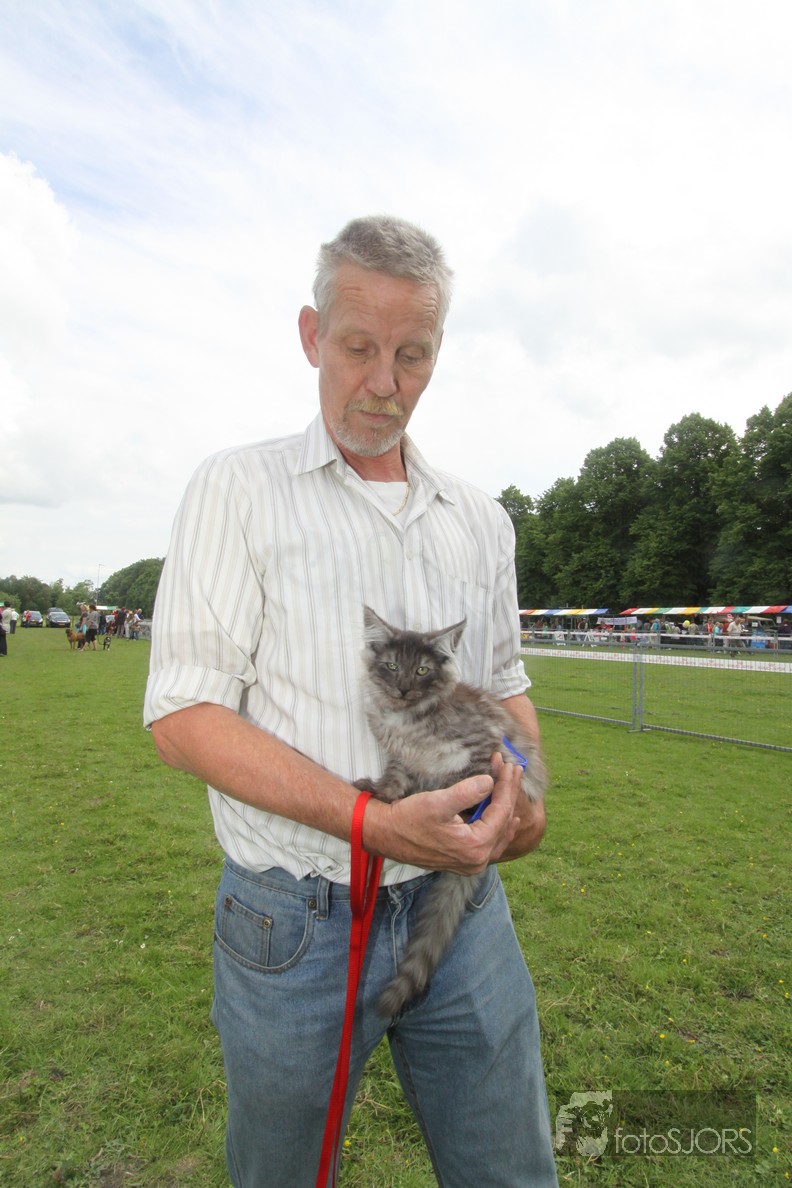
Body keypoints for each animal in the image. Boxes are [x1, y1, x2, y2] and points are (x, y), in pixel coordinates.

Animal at [356, 606, 547, 1016]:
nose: (403, 689)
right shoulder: (401, 759)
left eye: (422, 670)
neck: (409, 720)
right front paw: (381, 794)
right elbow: (394, 782)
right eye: (392, 666)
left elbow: (461, 790)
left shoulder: (484, 755)